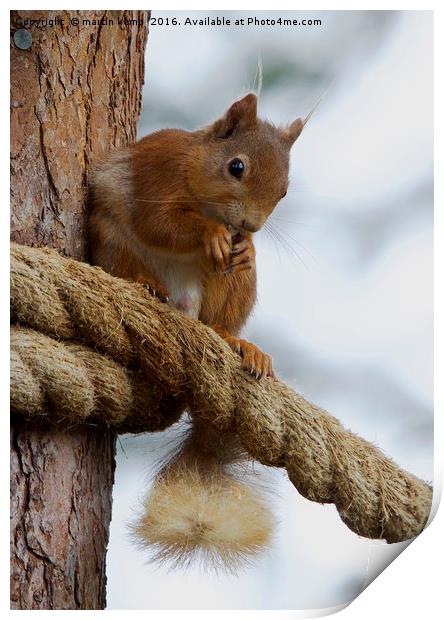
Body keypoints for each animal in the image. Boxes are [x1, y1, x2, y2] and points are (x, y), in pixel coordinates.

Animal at [89, 93, 306, 572]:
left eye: (284, 189)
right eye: (236, 167)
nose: (252, 226)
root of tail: (185, 307)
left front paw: (247, 246)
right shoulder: (158, 172)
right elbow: (159, 222)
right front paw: (210, 234)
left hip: (230, 289)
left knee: (223, 317)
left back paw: (239, 342)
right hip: (112, 239)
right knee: (130, 256)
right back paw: (145, 285)